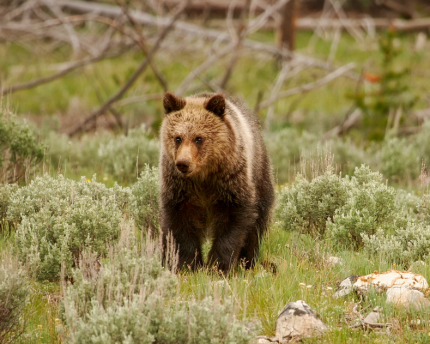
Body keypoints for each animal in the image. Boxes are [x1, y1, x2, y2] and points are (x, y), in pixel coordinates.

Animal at [160, 92, 274, 274]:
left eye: (198, 138)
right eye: (178, 138)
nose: (183, 163)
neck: (204, 175)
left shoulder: (231, 180)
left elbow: (233, 219)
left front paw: (219, 265)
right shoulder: (180, 187)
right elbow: (180, 224)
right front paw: (188, 265)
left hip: (260, 175)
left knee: (256, 225)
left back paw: (249, 262)